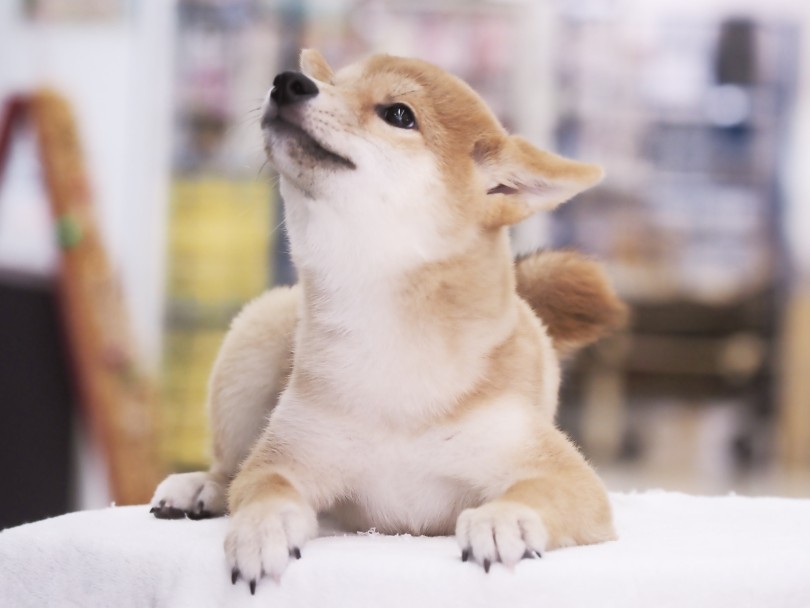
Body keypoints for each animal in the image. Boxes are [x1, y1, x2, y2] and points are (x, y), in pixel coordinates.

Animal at [150, 50, 624, 592]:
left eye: (398, 114)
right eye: (334, 82)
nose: (289, 81)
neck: (390, 340)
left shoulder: (560, 474)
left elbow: (535, 495)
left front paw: (503, 520)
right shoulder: (288, 458)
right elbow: (263, 488)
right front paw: (259, 530)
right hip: (256, 336)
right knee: (229, 469)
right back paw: (200, 488)